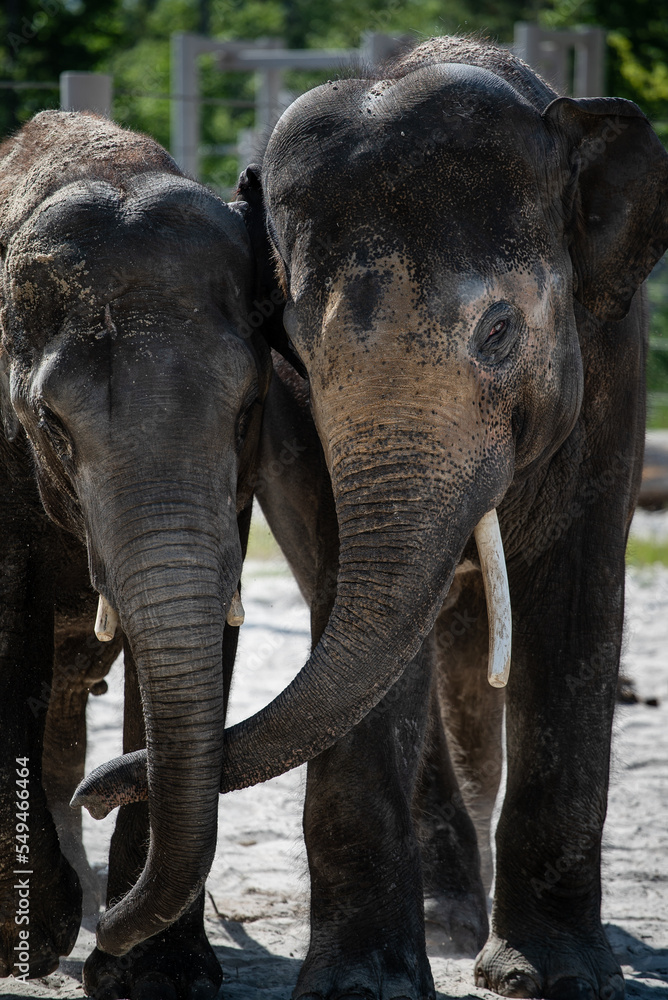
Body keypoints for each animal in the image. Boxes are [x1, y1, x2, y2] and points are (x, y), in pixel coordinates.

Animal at [75, 33, 668, 1000]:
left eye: (500, 332)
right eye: (297, 349)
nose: (95, 789)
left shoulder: (615, 362)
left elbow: (577, 600)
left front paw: (552, 978)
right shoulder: (293, 421)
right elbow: (345, 600)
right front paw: (360, 983)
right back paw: (449, 918)